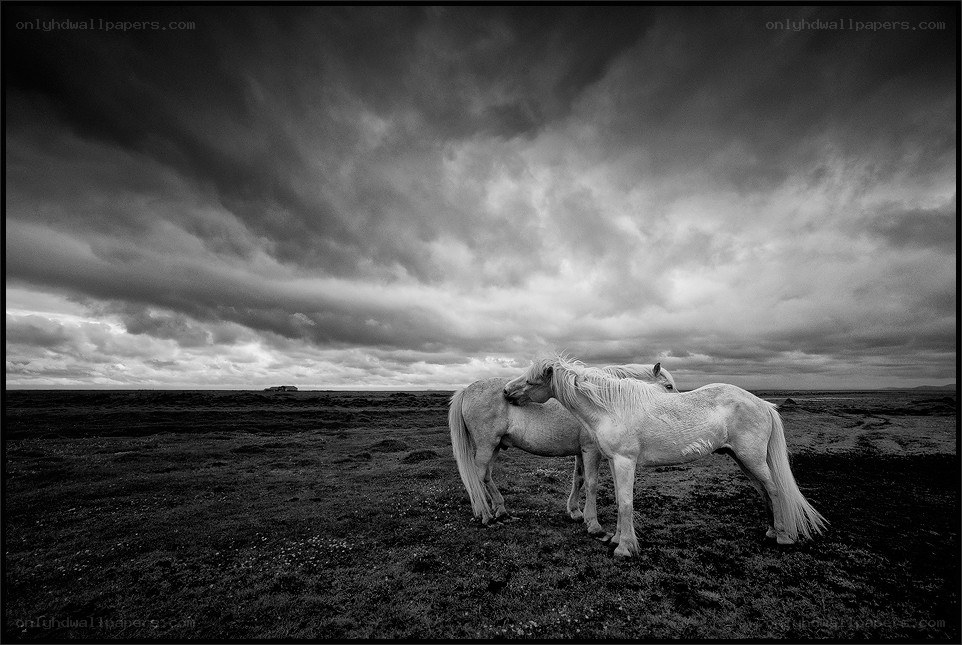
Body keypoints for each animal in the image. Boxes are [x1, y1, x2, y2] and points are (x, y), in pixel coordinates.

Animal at [449, 363, 677, 535]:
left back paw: (500, 509)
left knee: (486, 476)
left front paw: (575, 512)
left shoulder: (581, 451)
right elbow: (591, 483)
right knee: (478, 476)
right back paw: (486, 515)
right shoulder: (591, 450)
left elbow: (579, 479)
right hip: (486, 446)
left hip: (495, 446)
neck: (602, 402)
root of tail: (466, 390)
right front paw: (593, 523)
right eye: (668, 386)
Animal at [502, 354, 827, 559]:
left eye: (532, 381)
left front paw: (624, 548)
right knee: (764, 492)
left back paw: (783, 536)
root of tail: (763, 404)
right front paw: (618, 538)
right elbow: (618, 500)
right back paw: (771, 531)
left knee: (773, 490)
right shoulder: (613, 461)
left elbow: (625, 502)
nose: (506, 391)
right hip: (744, 461)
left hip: (753, 460)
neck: (611, 406)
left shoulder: (624, 462)